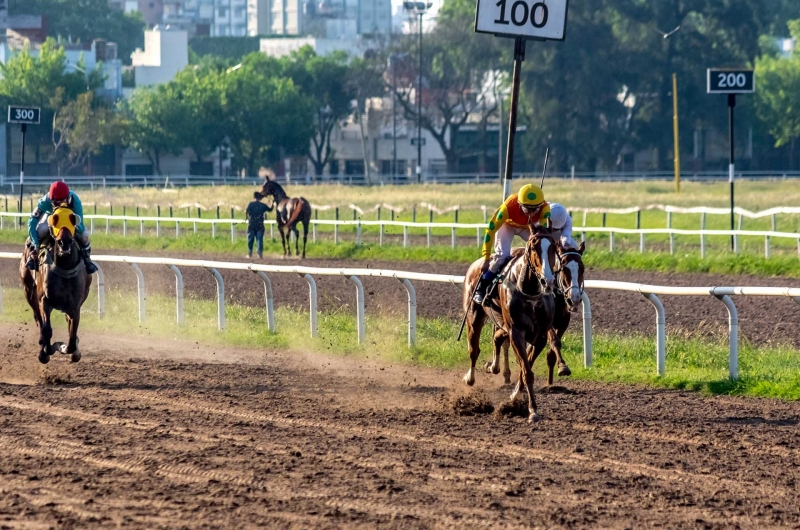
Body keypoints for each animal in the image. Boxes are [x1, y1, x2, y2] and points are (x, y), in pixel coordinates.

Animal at [19, 206, 91, 364]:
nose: (64, 242)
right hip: (28, 290)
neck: (64, 267)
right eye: (55, 218)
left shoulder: (75, 306)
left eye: (72, 218)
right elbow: (47, 329)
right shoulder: (44, 301)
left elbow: (72, 338)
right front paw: (46, 352)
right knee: (38, 318)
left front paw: (69, 348)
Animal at [462, 226, 556, 420]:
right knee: (474, 350)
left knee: (497, 337)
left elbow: (525, 367)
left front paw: (515, 397)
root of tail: (475, 264)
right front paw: (533, 410)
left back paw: (493, 367)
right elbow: (527, 371)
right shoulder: (516, 332)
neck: (530, 292)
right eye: (533, 247)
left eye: (553, 247)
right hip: (474, 317)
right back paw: (470, 377)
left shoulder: (540, 336)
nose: (548, 281)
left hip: (501, 322)